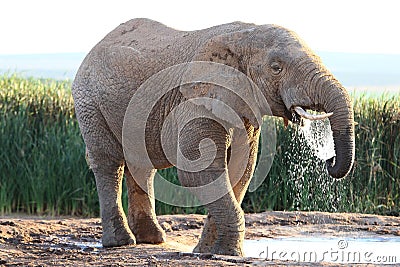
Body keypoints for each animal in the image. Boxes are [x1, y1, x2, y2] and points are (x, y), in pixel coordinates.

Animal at [71, 17, 354, 256]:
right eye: (276, 68)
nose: (329, 161)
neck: (244, 34)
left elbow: (242, 170)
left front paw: (210, 251)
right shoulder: (194, 101)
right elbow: (198, 171)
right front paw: (227, 253)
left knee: (141, 165)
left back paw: (152, 240)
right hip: (89, 102)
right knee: (109, 163)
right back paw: (120, 242)